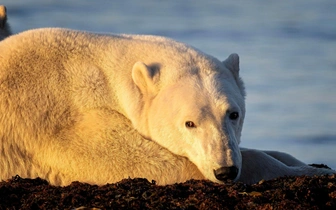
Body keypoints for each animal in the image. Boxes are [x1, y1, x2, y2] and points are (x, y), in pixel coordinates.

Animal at [0, 26, 334, 185]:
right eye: (189, 123)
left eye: (234, 114)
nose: (225, 171)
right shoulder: (58, 120)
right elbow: (155, 164)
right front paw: (312, 172)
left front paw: (311, 163)